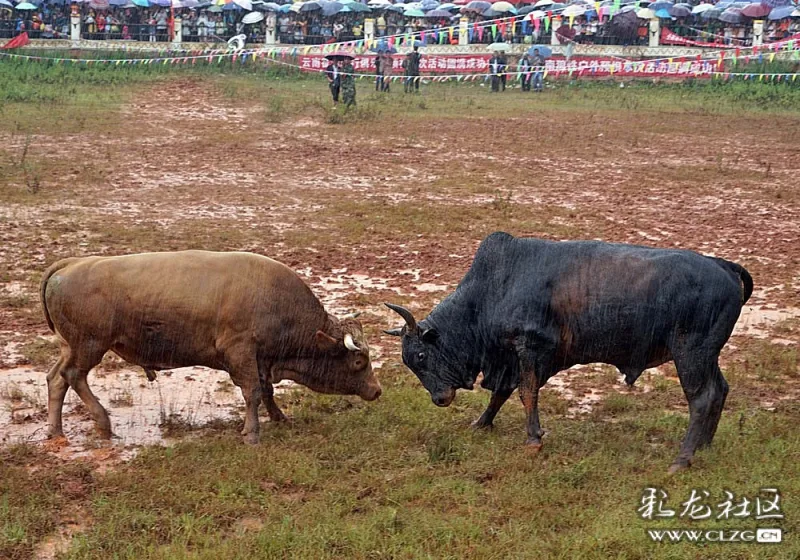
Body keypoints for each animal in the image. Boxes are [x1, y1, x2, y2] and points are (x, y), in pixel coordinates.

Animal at [39, 252, 382, 444]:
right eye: (358, 362)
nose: (377, 390)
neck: (277, 300)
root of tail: (72, 264)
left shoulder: (260, 359)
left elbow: (266, 390)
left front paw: (280, 418)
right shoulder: (241, 353)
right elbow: (253, 392)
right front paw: (251, 433)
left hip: (71, 347)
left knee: (56, 378)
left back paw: (56, 431)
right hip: (89, 347)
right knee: (74, 377)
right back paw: (103, 423)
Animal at [384, 232, 752, 472]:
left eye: (420, 356)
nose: (439, 398)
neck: (495, 287)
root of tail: (723, 266)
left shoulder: (529, 349)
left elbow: (526, 393)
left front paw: (533, 440)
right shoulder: (512, 359)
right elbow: (501, 393)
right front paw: (481, 423)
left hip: (691, 355)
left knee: (702, 399)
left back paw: (682, 459)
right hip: (707, 357)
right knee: (720, 390)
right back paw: (704, 447)